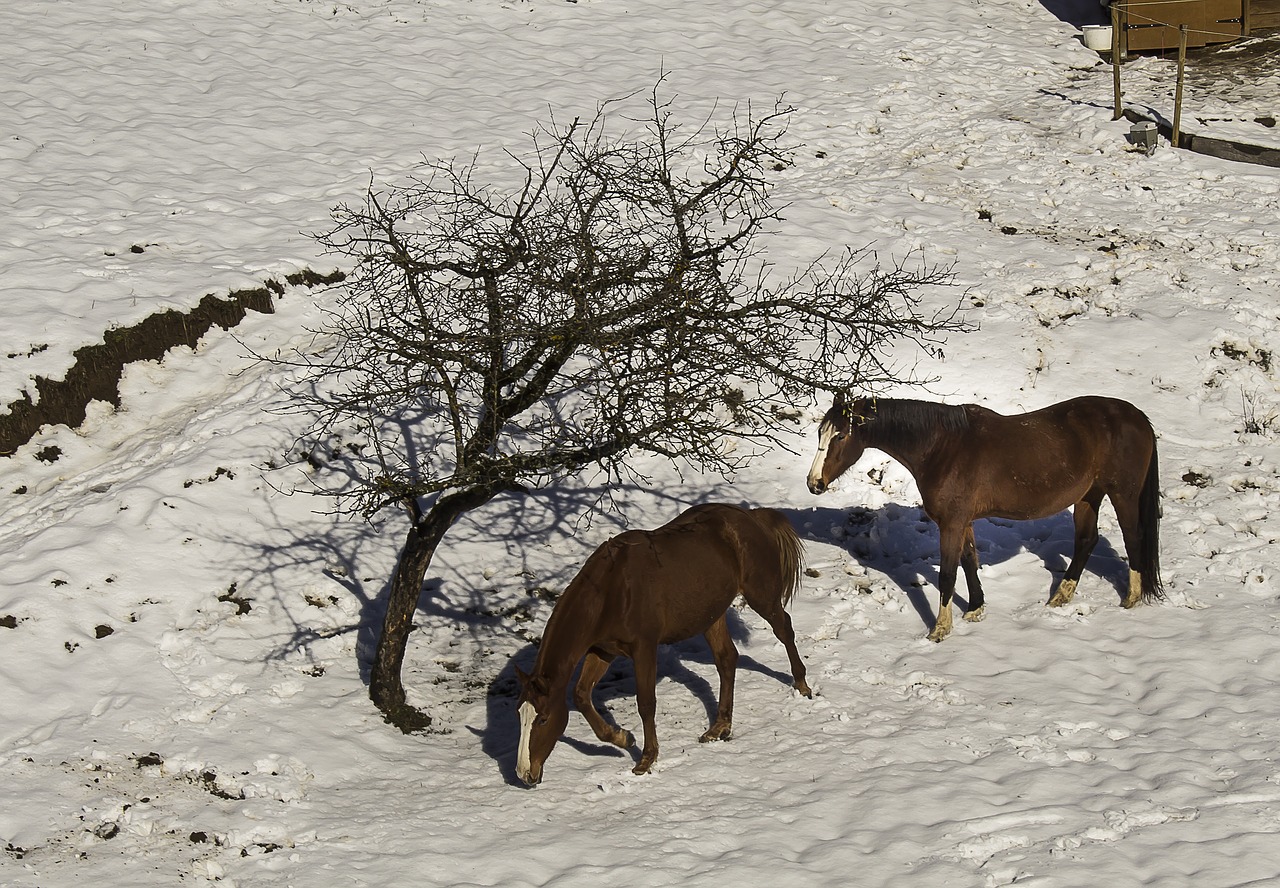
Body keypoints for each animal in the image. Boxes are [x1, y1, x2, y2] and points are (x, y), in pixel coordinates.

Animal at [512, 504, 803, 788]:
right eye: (520, 715)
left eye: (543, 718)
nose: (524, 774)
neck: (611, 591)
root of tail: (751, 516)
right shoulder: (603, 650)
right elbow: (582, 695)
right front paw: (622, 737)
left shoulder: (643, 648)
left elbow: (646, 703)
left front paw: (646, 759)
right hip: (712, 614)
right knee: (727, 659)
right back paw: (719, 727)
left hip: (761, 596)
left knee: (784, 630)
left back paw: (802, 685)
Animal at [808, 394, 1162, 639]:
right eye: (819, 434)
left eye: (840, 436)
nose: (814, 483)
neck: (941, 447)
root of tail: (1137, 416)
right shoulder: (962, 521)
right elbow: (969, 561)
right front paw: (975, 610)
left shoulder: (951, 524)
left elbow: (947, 575)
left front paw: (940, 630)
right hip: (1089, 496)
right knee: (1086, 541)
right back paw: (1059, 598)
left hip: (1123, 494)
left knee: (1133, 537)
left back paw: (1131, 598)